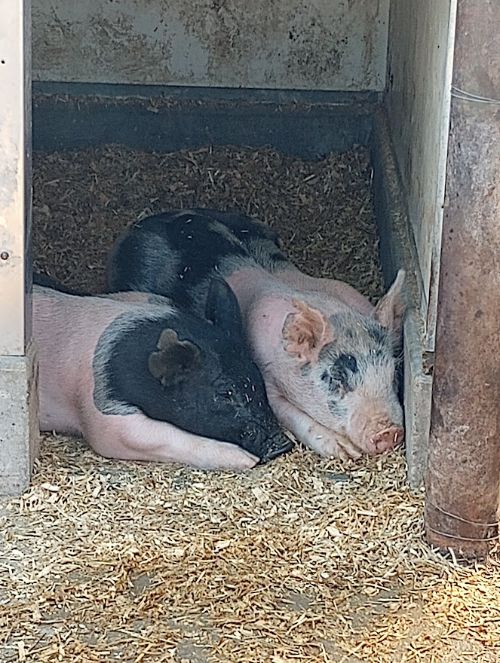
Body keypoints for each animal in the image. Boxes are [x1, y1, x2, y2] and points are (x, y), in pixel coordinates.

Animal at [33, 278, 292, 470]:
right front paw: (246, 460)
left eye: (258, 377)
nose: (283, 445)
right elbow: (125, 435)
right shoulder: (101, 411)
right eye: (225, 392)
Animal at [106, 209, 406, 462]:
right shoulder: (263, 374)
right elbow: (289, 414)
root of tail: (138, 226)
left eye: (392, 375)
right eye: (337, 378)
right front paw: (344, 452)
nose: (390, 432)